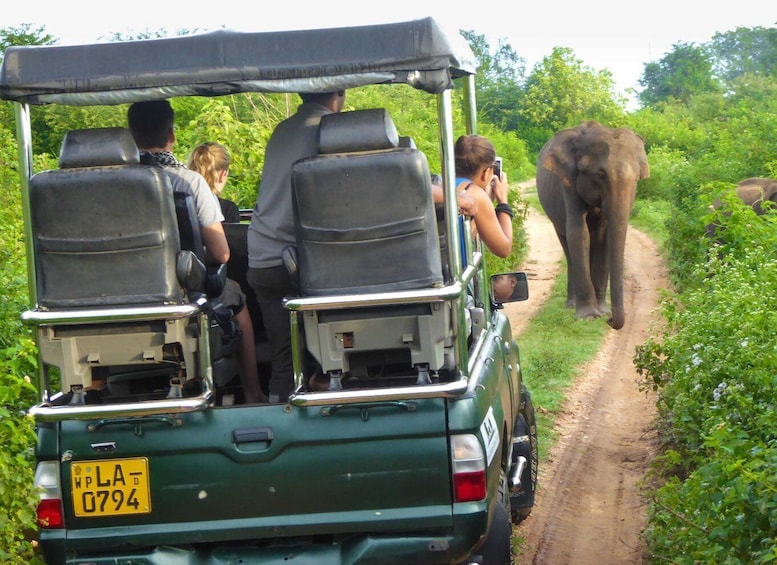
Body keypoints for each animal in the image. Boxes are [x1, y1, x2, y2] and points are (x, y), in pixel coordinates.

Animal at [532, 121, 648, 328]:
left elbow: (604, 237)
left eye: (637, 178)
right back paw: (571, 305)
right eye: (599, 174)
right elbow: (578, 233)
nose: (610, 320)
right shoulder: (568, 180)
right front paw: (589, 316)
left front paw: (602, 311)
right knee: (567, 246)